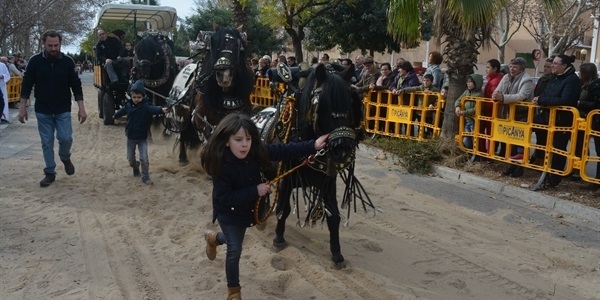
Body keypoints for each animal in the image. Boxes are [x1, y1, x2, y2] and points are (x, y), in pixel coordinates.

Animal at [175, 26, 256, 165]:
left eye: (237, 46)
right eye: (216, 47)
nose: (223, 73)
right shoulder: (198, 118)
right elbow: (209, 139)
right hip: (182, 113)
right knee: (182, 132)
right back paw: (182, 157)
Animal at [258, 62, 376, 264]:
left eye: (351, 104)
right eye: (324, 105)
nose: (343, 149)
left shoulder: (328, 182)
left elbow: (334, 215)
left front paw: (336, 253)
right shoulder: (286, 181)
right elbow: (284, 209)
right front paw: (279, 238)